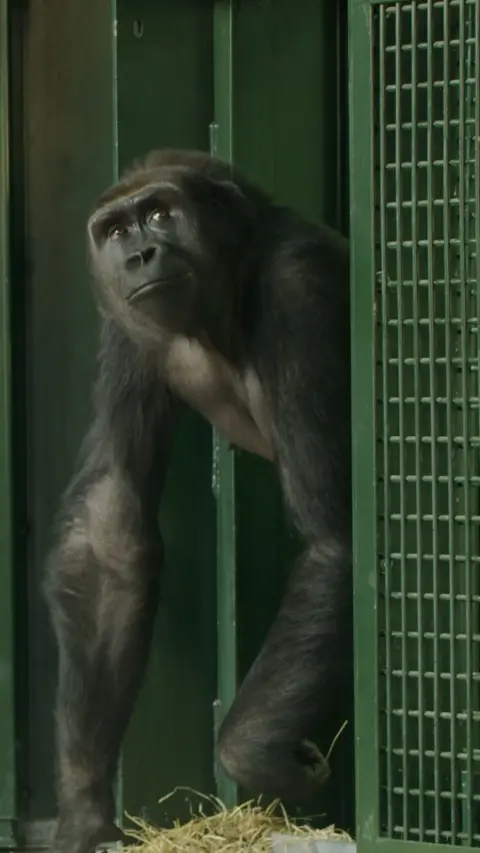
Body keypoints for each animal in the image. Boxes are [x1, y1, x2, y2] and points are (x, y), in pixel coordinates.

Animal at [43, 149, 352, 853]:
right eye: (115, 231)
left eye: (160, 214)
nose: (139, 255)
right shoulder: (125, 324)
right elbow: (110, 533)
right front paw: (82, 808)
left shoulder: (298, 289)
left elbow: (333, 536)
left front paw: (253, 753)